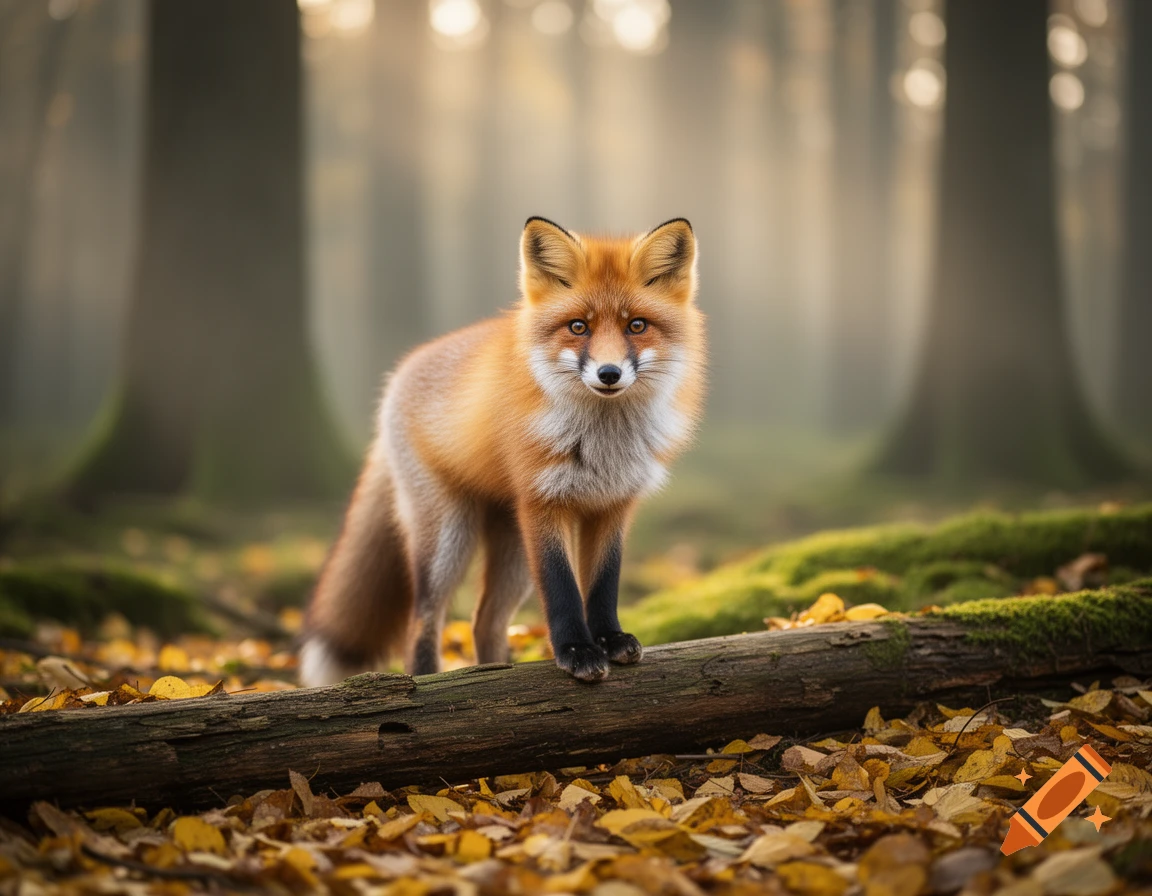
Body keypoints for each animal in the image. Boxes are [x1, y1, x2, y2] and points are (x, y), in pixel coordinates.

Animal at [300, 216, 706, 685]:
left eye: (636, 326)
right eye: (578, 327)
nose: (608, 374)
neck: (604, 445)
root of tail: (400, 372)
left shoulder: (613, 505)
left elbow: (604, 585)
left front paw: (610, 638)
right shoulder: (543, 503)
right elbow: (562, 589)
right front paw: (576, 651)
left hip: (512, 551)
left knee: (485, 622)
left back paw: (495, 674)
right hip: (449, 539)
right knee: (423, 620)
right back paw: (427, 681)